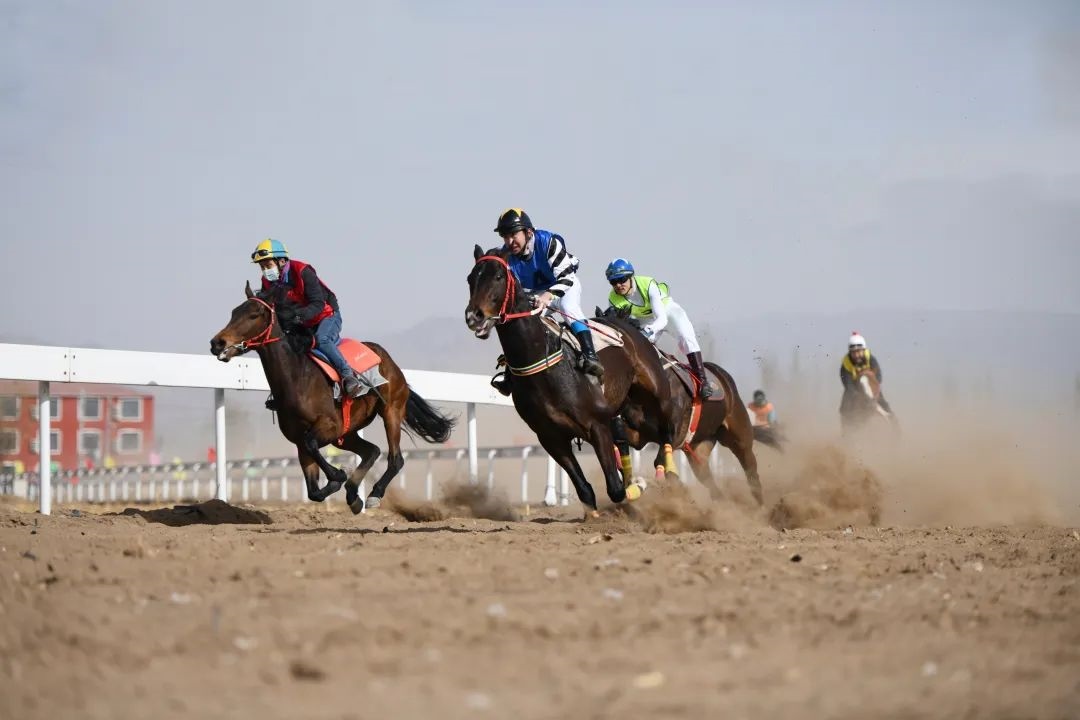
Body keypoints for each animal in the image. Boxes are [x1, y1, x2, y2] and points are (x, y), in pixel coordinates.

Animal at [209, 282, 456, 513]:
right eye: (233, 312)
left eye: (254, 314)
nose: (217, 343)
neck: (298, 379)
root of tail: (389, 360)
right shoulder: (300, 440)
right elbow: (313, 491)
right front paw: (343, 486)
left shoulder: (328, 426)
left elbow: (313, 446)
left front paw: (339, 475)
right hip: (347, 432)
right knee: (372, 451)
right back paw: (353, 493)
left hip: (390, 411)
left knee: (395, 459)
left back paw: (374, 494)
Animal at [464, 245, 682, 515]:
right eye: (470, 279)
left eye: (498, 277)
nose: (474, 316)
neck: (544, 365)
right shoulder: (550, 437)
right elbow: (586, 490)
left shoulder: (597, 426)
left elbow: (616, 489)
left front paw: (638, 486)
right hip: (625, 407)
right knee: (629, 439)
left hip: (656, 393)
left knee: (667, 430)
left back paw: (668, 471)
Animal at [596, 304, 778, 505]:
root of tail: (724, 378)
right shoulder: (638, 435)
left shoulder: (674, 433)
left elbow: (661, 463)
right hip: (699, 447)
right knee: (710, 482)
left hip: (740, 437)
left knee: (751, 471)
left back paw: (761, 507)